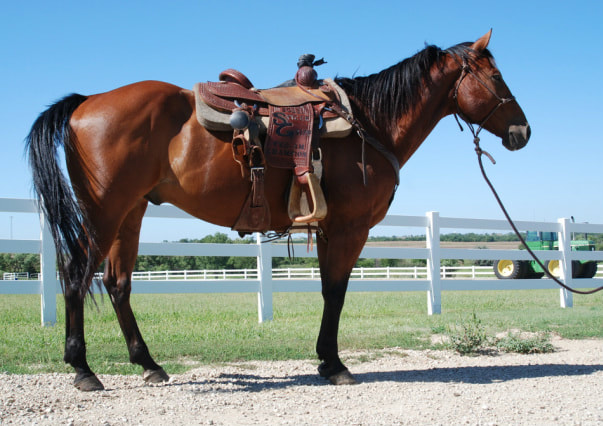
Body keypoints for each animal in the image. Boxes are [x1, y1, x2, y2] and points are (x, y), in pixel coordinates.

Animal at [26, 29, 532, 390]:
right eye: (495, 77)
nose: (523, 131)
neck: (368, 123)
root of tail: (86, 103)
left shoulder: (329, 229)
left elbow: (330, 292)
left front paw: (326, 360)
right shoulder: (348, 229)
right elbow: (336, 293)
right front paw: (334, 363)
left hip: (129, 214)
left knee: (117, 284)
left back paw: (148, 363)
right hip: (103, 212)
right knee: (75, 274)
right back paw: (83, 370)